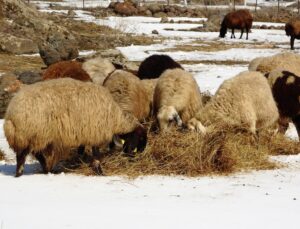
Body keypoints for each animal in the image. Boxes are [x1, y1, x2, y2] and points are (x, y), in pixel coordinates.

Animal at [3, 78, 146, 176]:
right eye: (139, 139)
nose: (136, 157)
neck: (115, 118)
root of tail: (10, 115)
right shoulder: (95, 132)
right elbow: (96, 154)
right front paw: (99, 171)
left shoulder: (83, 133)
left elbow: (81, 150)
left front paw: (80, 161)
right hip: (31, 134)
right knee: (22, 156)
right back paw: (21, 173)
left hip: (36, 137)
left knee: (35, 154)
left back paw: (47, 169)